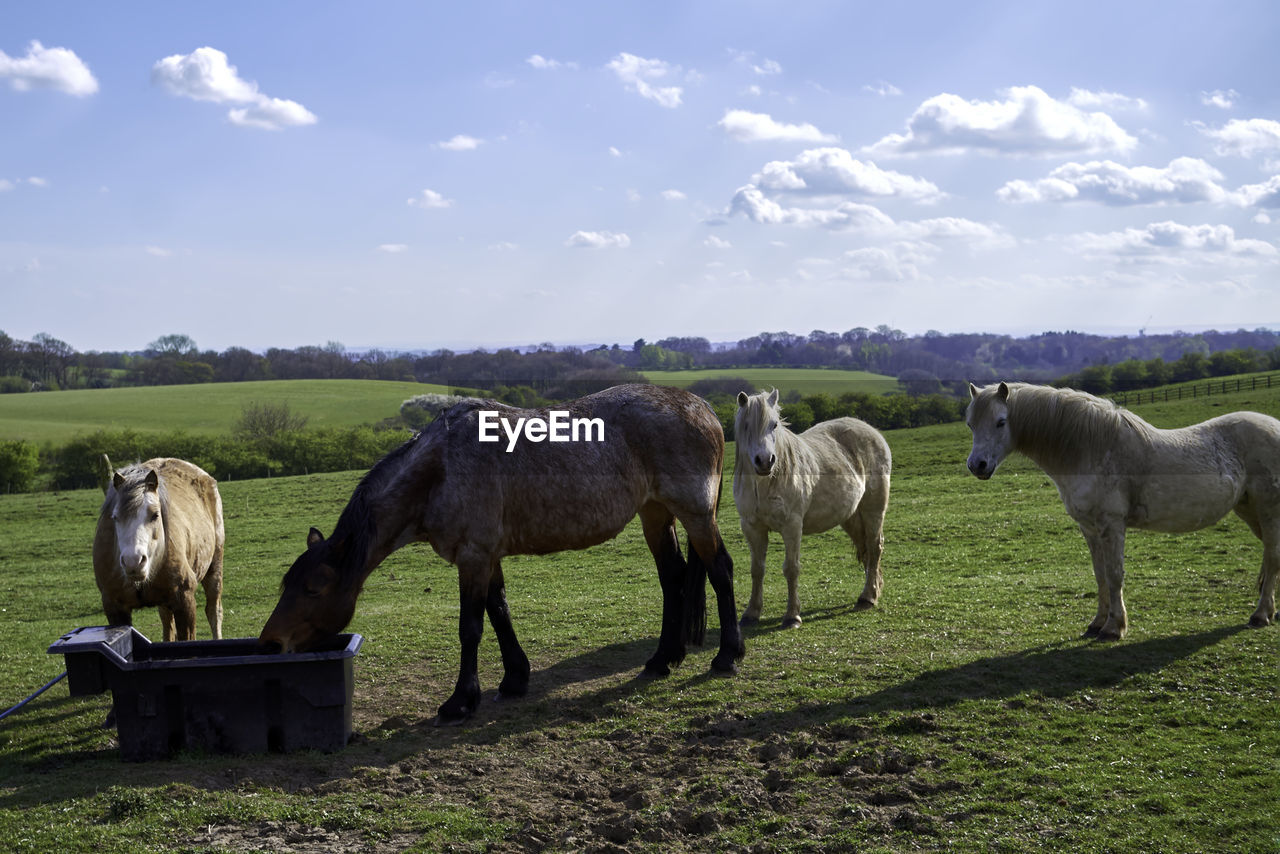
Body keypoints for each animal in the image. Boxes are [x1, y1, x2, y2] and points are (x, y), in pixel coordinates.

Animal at [93, 453, 225, 640]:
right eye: (115, 517)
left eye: (155, 515)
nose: (133, 562)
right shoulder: (115, 608)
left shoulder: (184, 601)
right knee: (167, 621)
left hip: (215, 566)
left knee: (214, 611)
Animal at [256, 384, 747, 727]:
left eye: (315, 588)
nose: (270, 642)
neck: (440, 468)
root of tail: (701, 407)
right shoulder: (485, 556)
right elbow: (499, 611)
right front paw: (514, 679)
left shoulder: (473, 556)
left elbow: (471, 627)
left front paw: (460, 701)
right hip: (655, 514)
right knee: (674, 578)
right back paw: (663, 659)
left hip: (695, 514)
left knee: (720, 571)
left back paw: (728, 655)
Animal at [732, 391, 890, 624]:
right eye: (746, 425)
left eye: (774, 424)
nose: (765, 461)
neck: (765, 483)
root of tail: (871, 430)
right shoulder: (752, 528)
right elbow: (757, 569)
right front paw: (752, 612)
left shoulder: (792, 526)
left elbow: (791, 569)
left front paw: (792, 616)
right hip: (851, 516)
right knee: (867, 551)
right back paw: (874, 590)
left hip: (873, 509)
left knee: (874, 546)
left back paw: (868, 597)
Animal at [967, 381, 1280, 640]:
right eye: (970, 424)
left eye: (1001, 422)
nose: (977, 465)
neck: (1090, 449)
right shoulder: (1090, 529)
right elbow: (1100, 575)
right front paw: (1097, 623)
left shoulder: (1112, 525)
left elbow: (1115, 574)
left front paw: (1114, 628)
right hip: (1248, 510)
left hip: (1268, 510)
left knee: (1272, 556)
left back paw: (1260, 615)